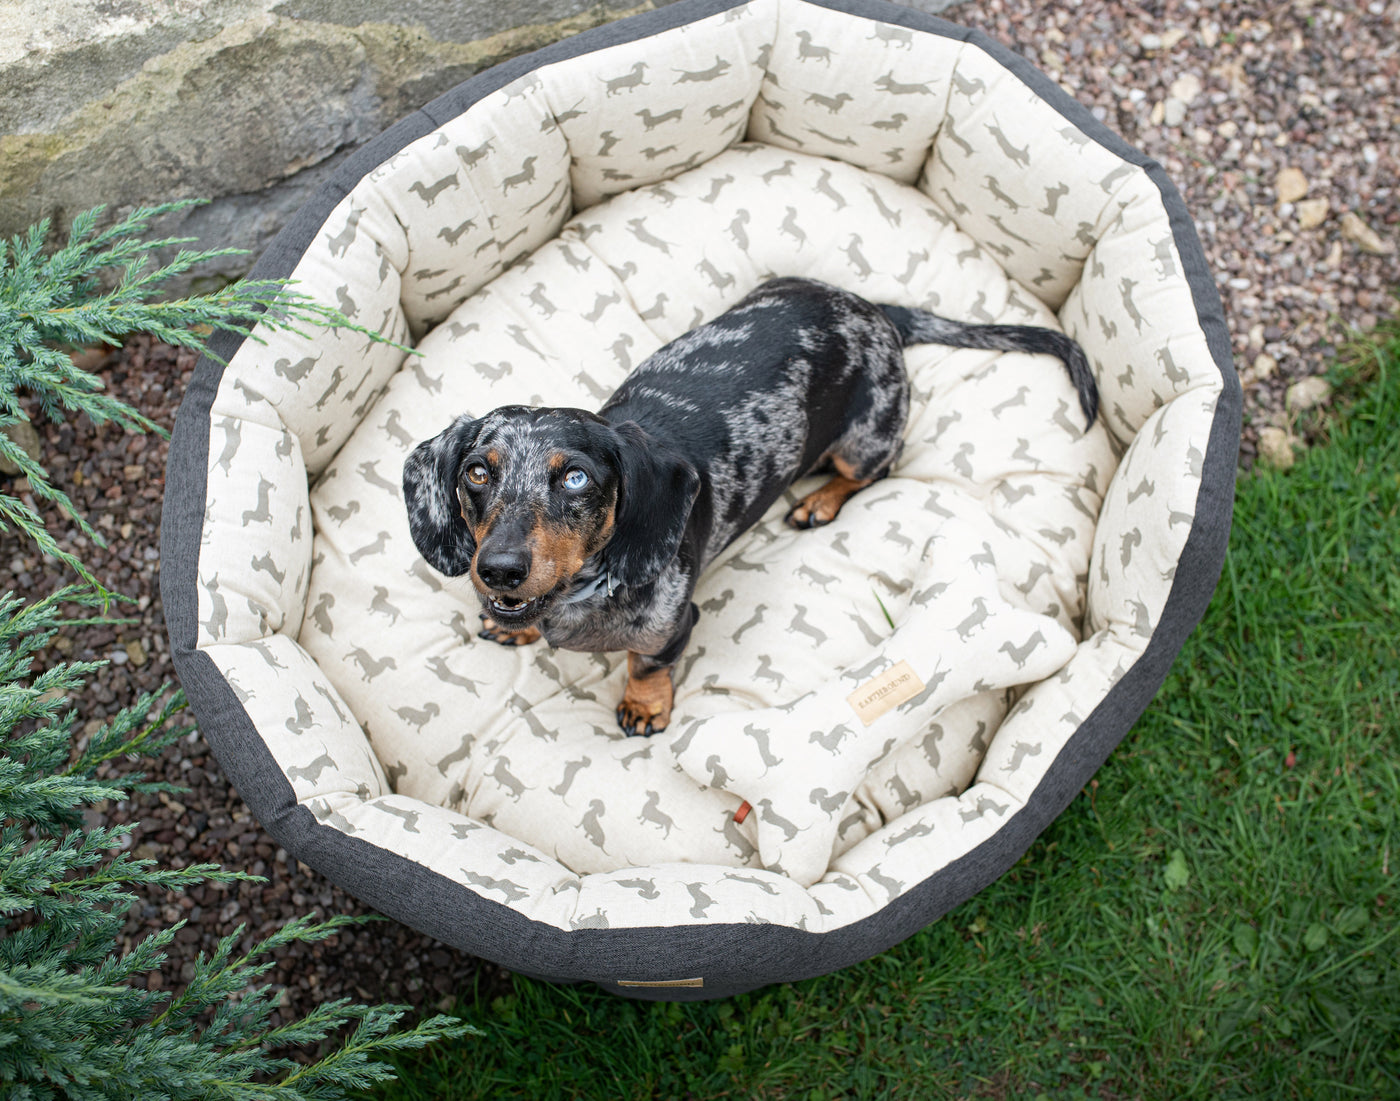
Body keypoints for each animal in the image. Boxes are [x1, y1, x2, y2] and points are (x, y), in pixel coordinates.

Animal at [400, 278, 1097, 734]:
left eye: (575, 479)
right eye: (477, 472)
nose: (499, 570)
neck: (582, 594)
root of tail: (873, 310)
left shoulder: (675, 626)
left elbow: (645, 665)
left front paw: (645, 707)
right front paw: (511, 624)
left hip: (866, 442)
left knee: (870, 471)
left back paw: (819, 503)